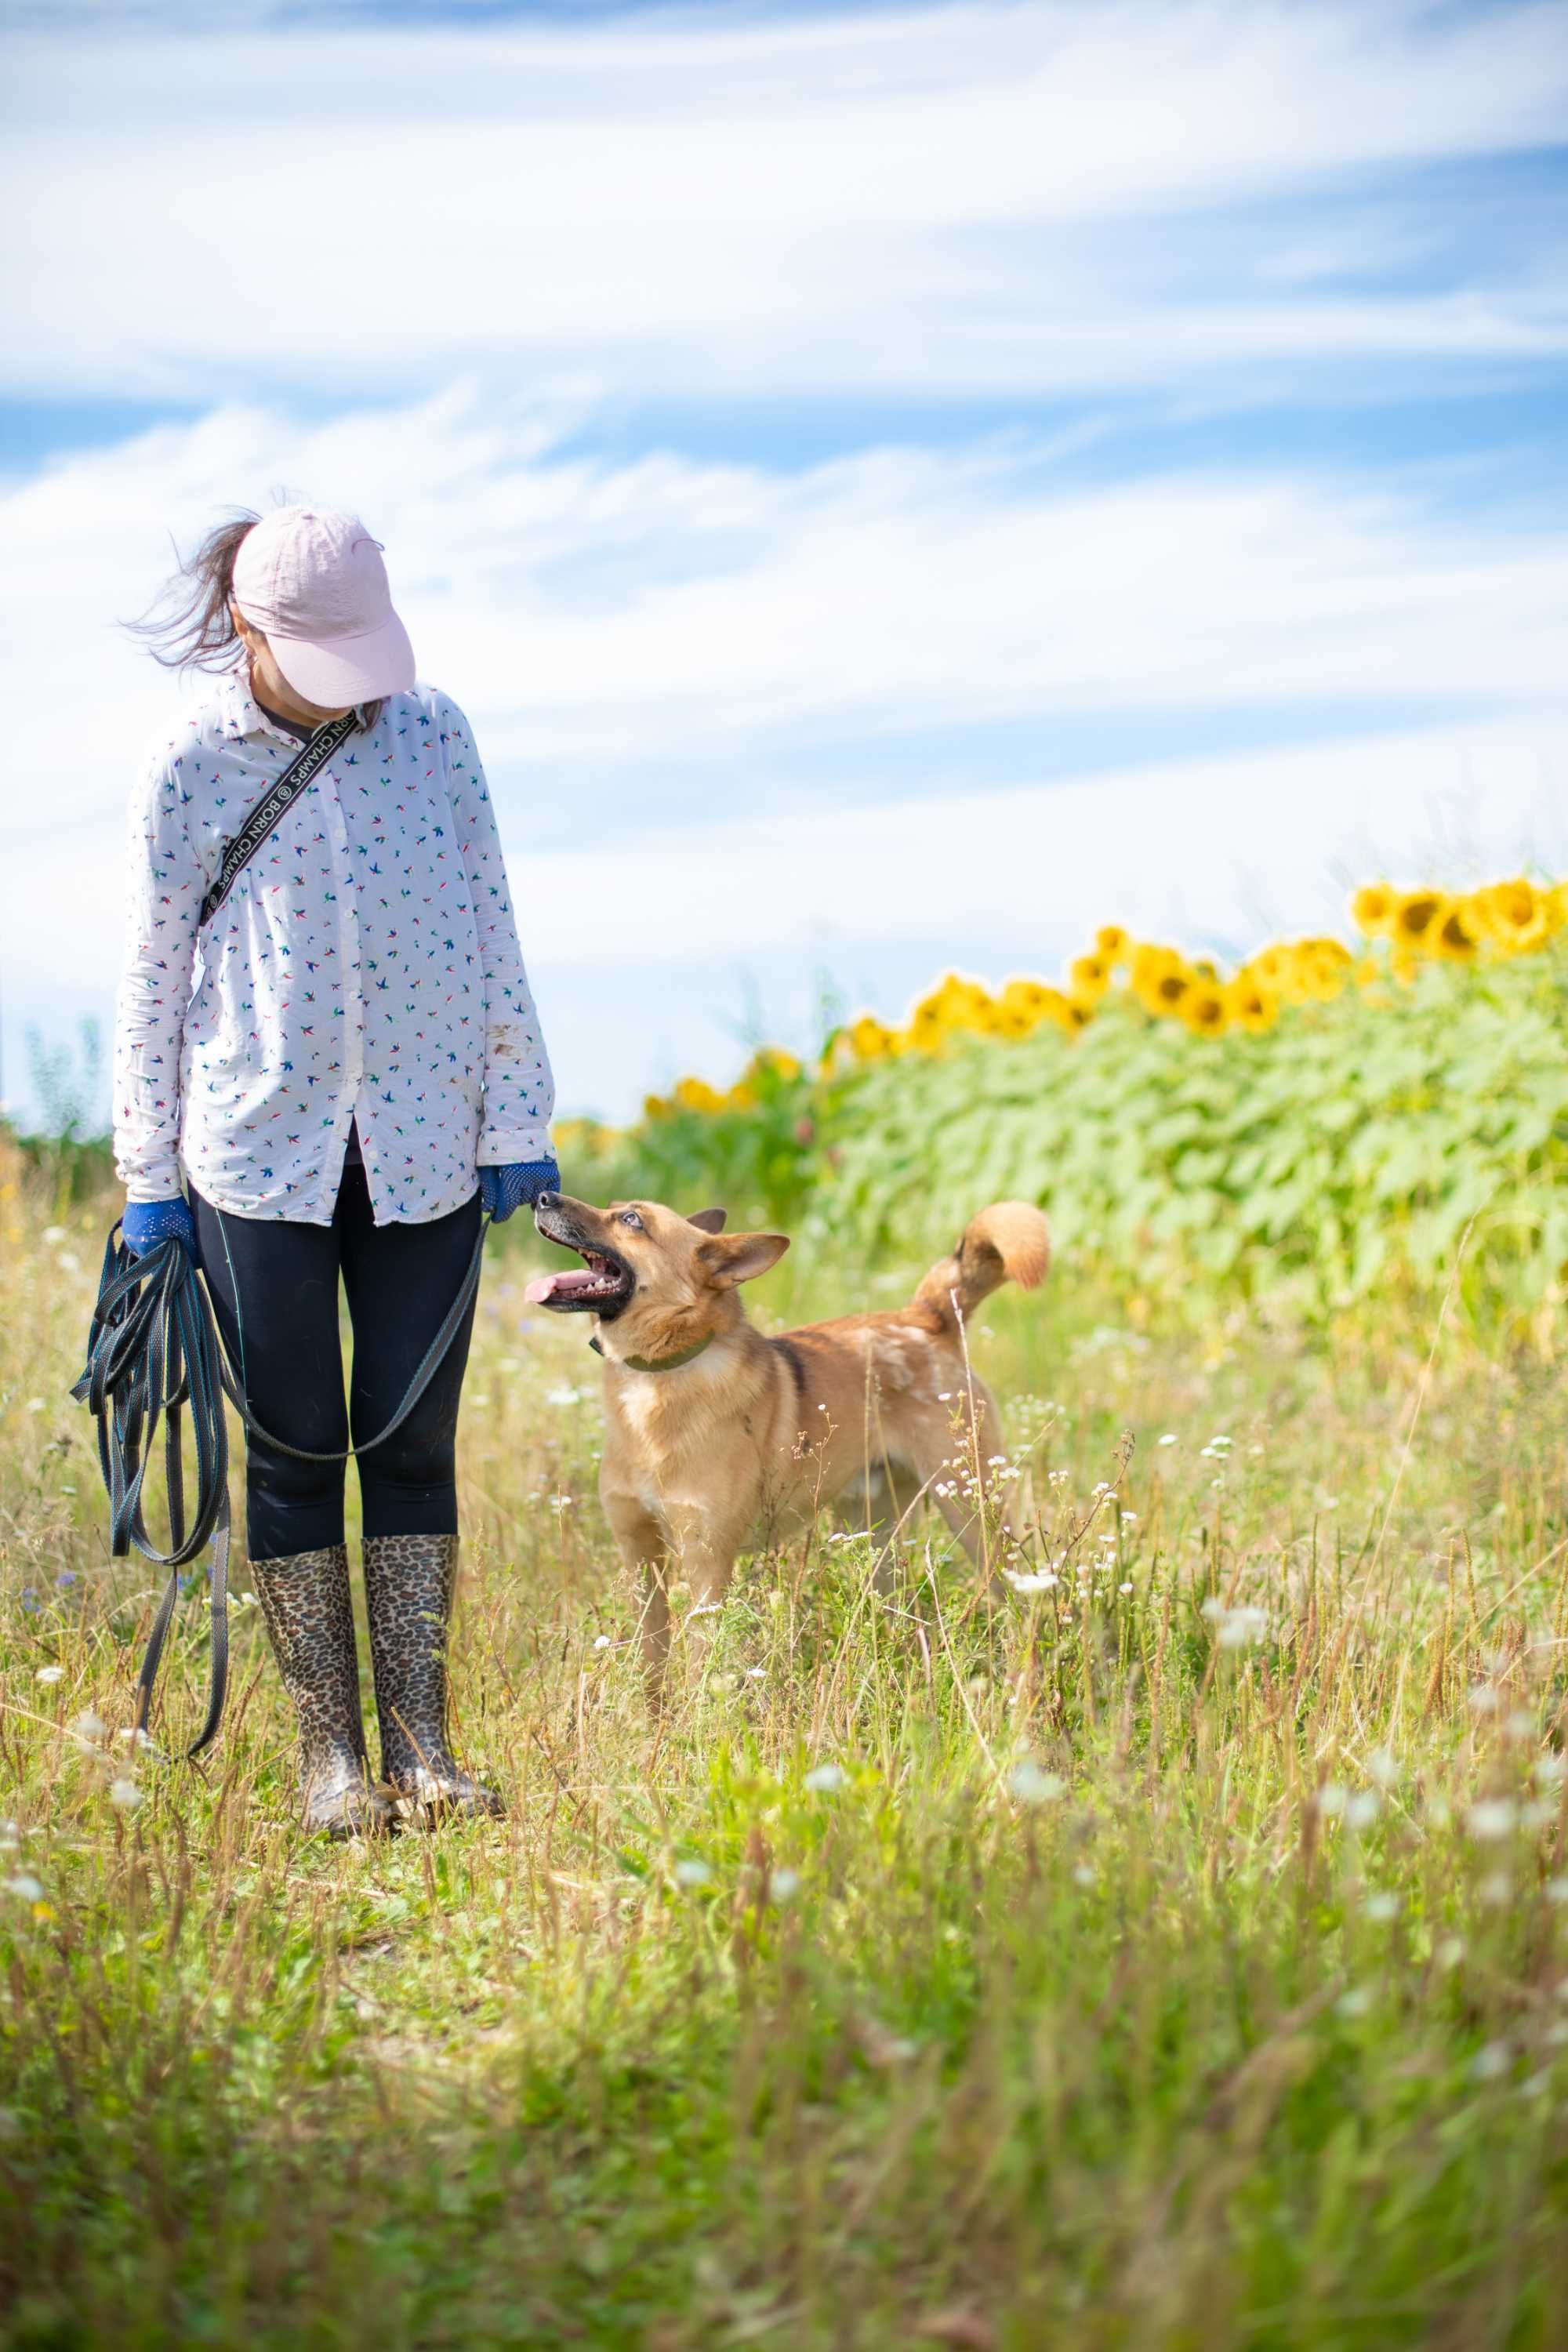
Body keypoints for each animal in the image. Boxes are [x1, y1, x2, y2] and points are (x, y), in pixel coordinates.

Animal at [531, 1185, 1053, 1665]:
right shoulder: (640, 1560)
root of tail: (924, 1318)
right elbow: (651, 1665)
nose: (542, 1196)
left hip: (973, 1517)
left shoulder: (706, 1566)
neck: (655, 1380)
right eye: (615, 1207)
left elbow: (701, 1664)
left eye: (632, 1220)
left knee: (1017, 1600)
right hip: (873, 1532)